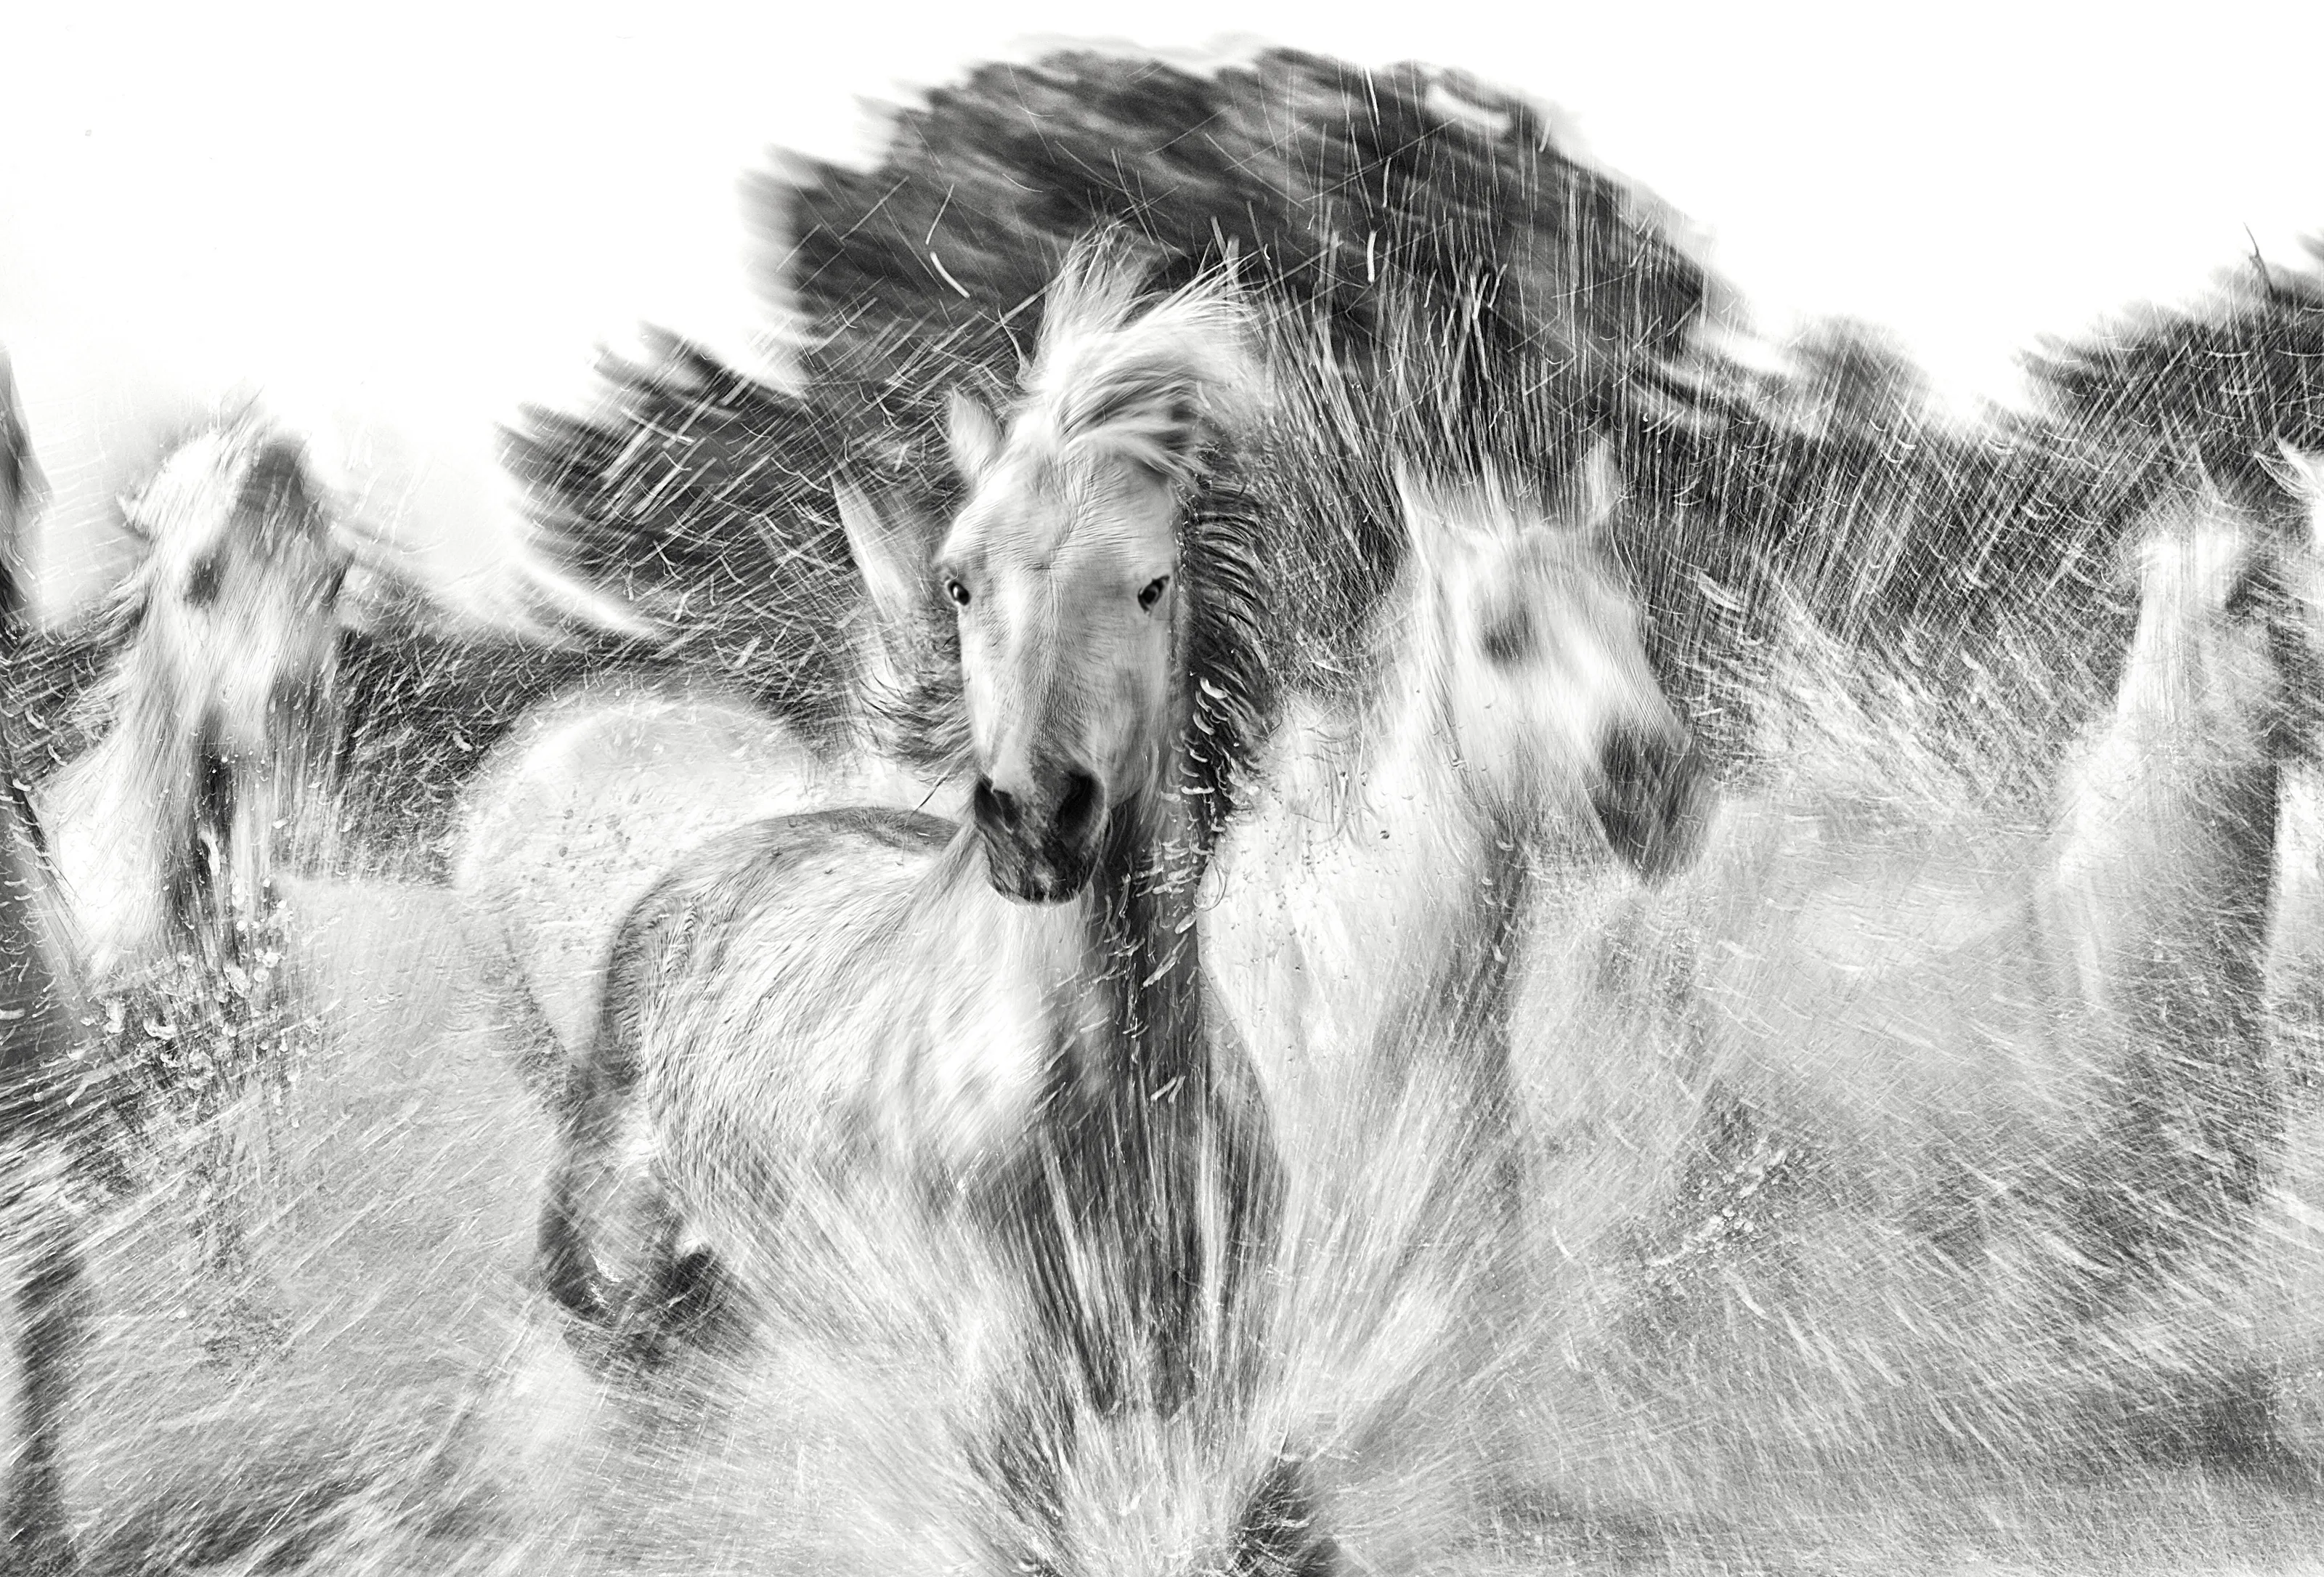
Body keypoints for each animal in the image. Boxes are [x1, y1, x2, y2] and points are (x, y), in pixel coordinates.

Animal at [534, 234, 1296, 1561]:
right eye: (958, 582)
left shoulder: (1216, 1400)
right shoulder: (1004, 1438)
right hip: (628, 1310)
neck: (1108, 1109)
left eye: (1152, 584)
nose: (1037, 817)